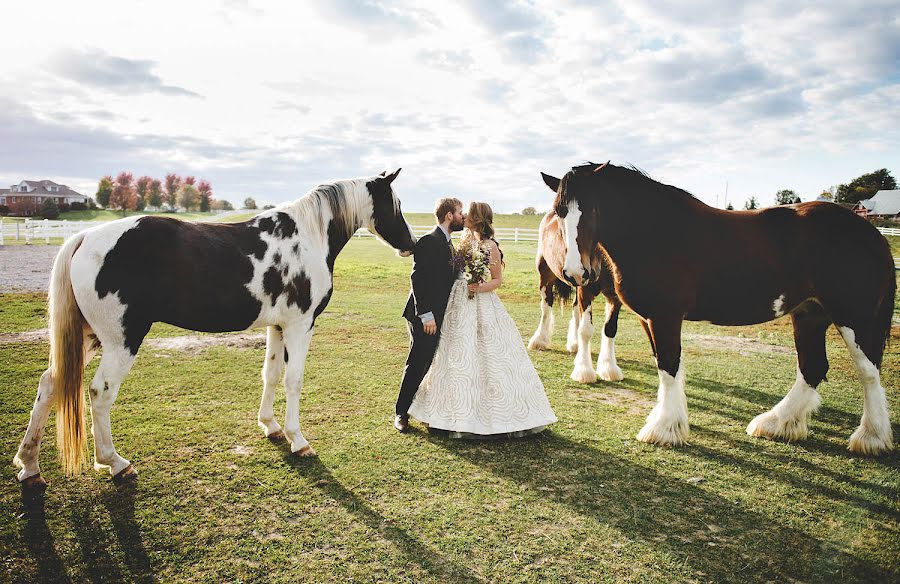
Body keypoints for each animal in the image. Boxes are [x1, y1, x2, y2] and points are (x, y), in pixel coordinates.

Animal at [14, 170, 414, 488]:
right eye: (395, 204)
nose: (410, 244)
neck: (307, 237)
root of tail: (84, 237)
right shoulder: (301, 325)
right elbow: (293, 380)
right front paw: (298, 440)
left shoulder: (278, 326)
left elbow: (271, 374)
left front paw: (270, 426)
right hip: (120, 340)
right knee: (100, 393)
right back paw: (115, 463)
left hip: (88, 337)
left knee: (50, 383)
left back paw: (30, 466)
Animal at [528, 173, 624, 384]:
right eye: (560, 214)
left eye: (595, 212)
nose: (575, 269)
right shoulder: (585, 288)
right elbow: (586, 330)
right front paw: (584, 370)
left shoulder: (614, 296)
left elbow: (610, 328)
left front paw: (609, 367)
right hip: (546, 276)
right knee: (546, 306)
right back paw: (539, 340)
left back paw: (574, 344)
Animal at [548, 161, 892, 456]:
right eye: (559, 212)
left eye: (593, 209)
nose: (577, 272)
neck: (657, 232)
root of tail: (871, 233)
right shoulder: (650, 318)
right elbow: (664, 364)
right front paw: (667, 420)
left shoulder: (665, 316)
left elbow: (669, 366)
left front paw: (664, 429)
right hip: (809, 314)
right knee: (813, 367)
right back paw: (777, 423)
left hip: (853, 317)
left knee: (868, 372)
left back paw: (871, 437)